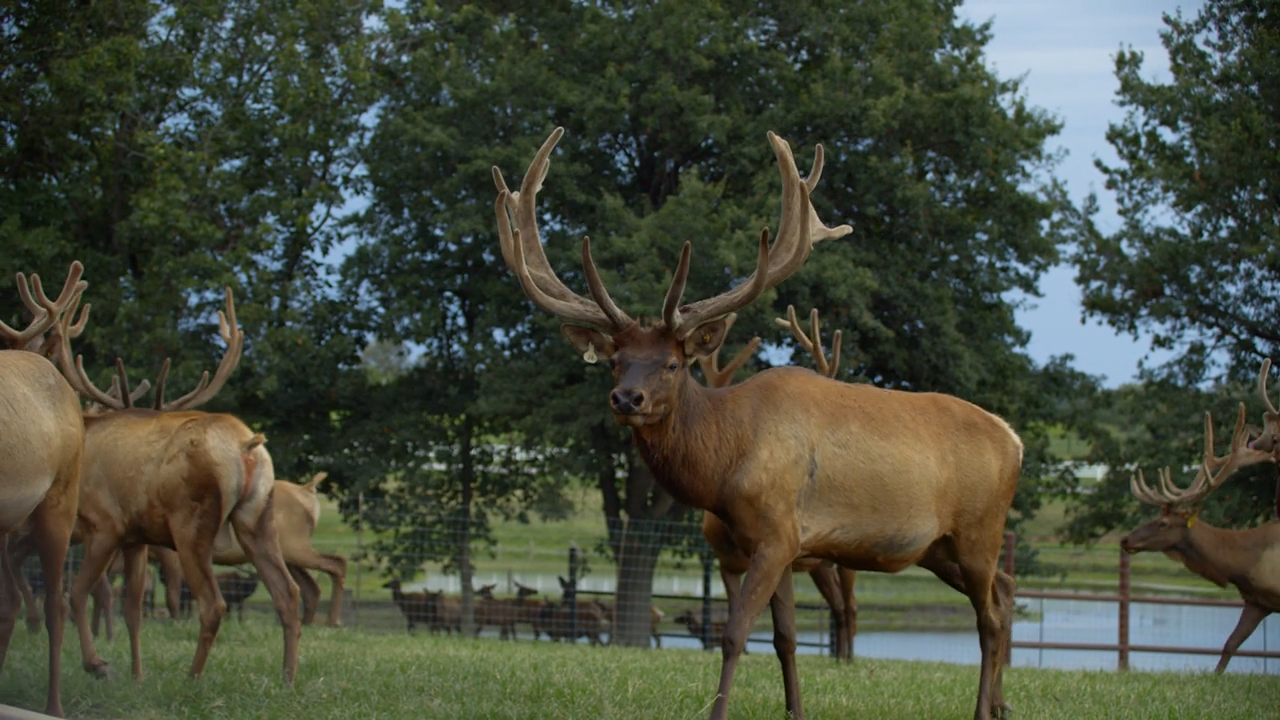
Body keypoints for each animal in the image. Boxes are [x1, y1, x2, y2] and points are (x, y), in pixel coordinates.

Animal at [49, 285, 300, 684]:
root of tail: (247, 446)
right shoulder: (134, 536)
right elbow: (131, 607)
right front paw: (135, 675)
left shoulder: (105, 524)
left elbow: (76, 593)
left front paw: (97, 664)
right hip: (258, 516)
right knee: (288, 593)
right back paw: (287, 679)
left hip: (191, 521)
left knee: (213, 604)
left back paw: (192, 678)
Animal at [696, 308, 858, 661]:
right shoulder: (726, 562)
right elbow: (736, 610)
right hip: (818, 566)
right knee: (838, 606)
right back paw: (839, 657)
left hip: (843, 560)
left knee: (851, 607)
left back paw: (849, 658)